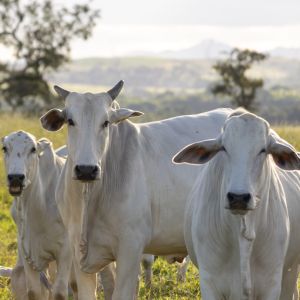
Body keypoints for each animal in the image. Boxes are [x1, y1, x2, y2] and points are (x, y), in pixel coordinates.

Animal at [173, 109, 300, 300]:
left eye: (263, 150)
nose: (238, 197)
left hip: (290, 274)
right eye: (224, 148)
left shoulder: (272, 285)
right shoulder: (210, 283)